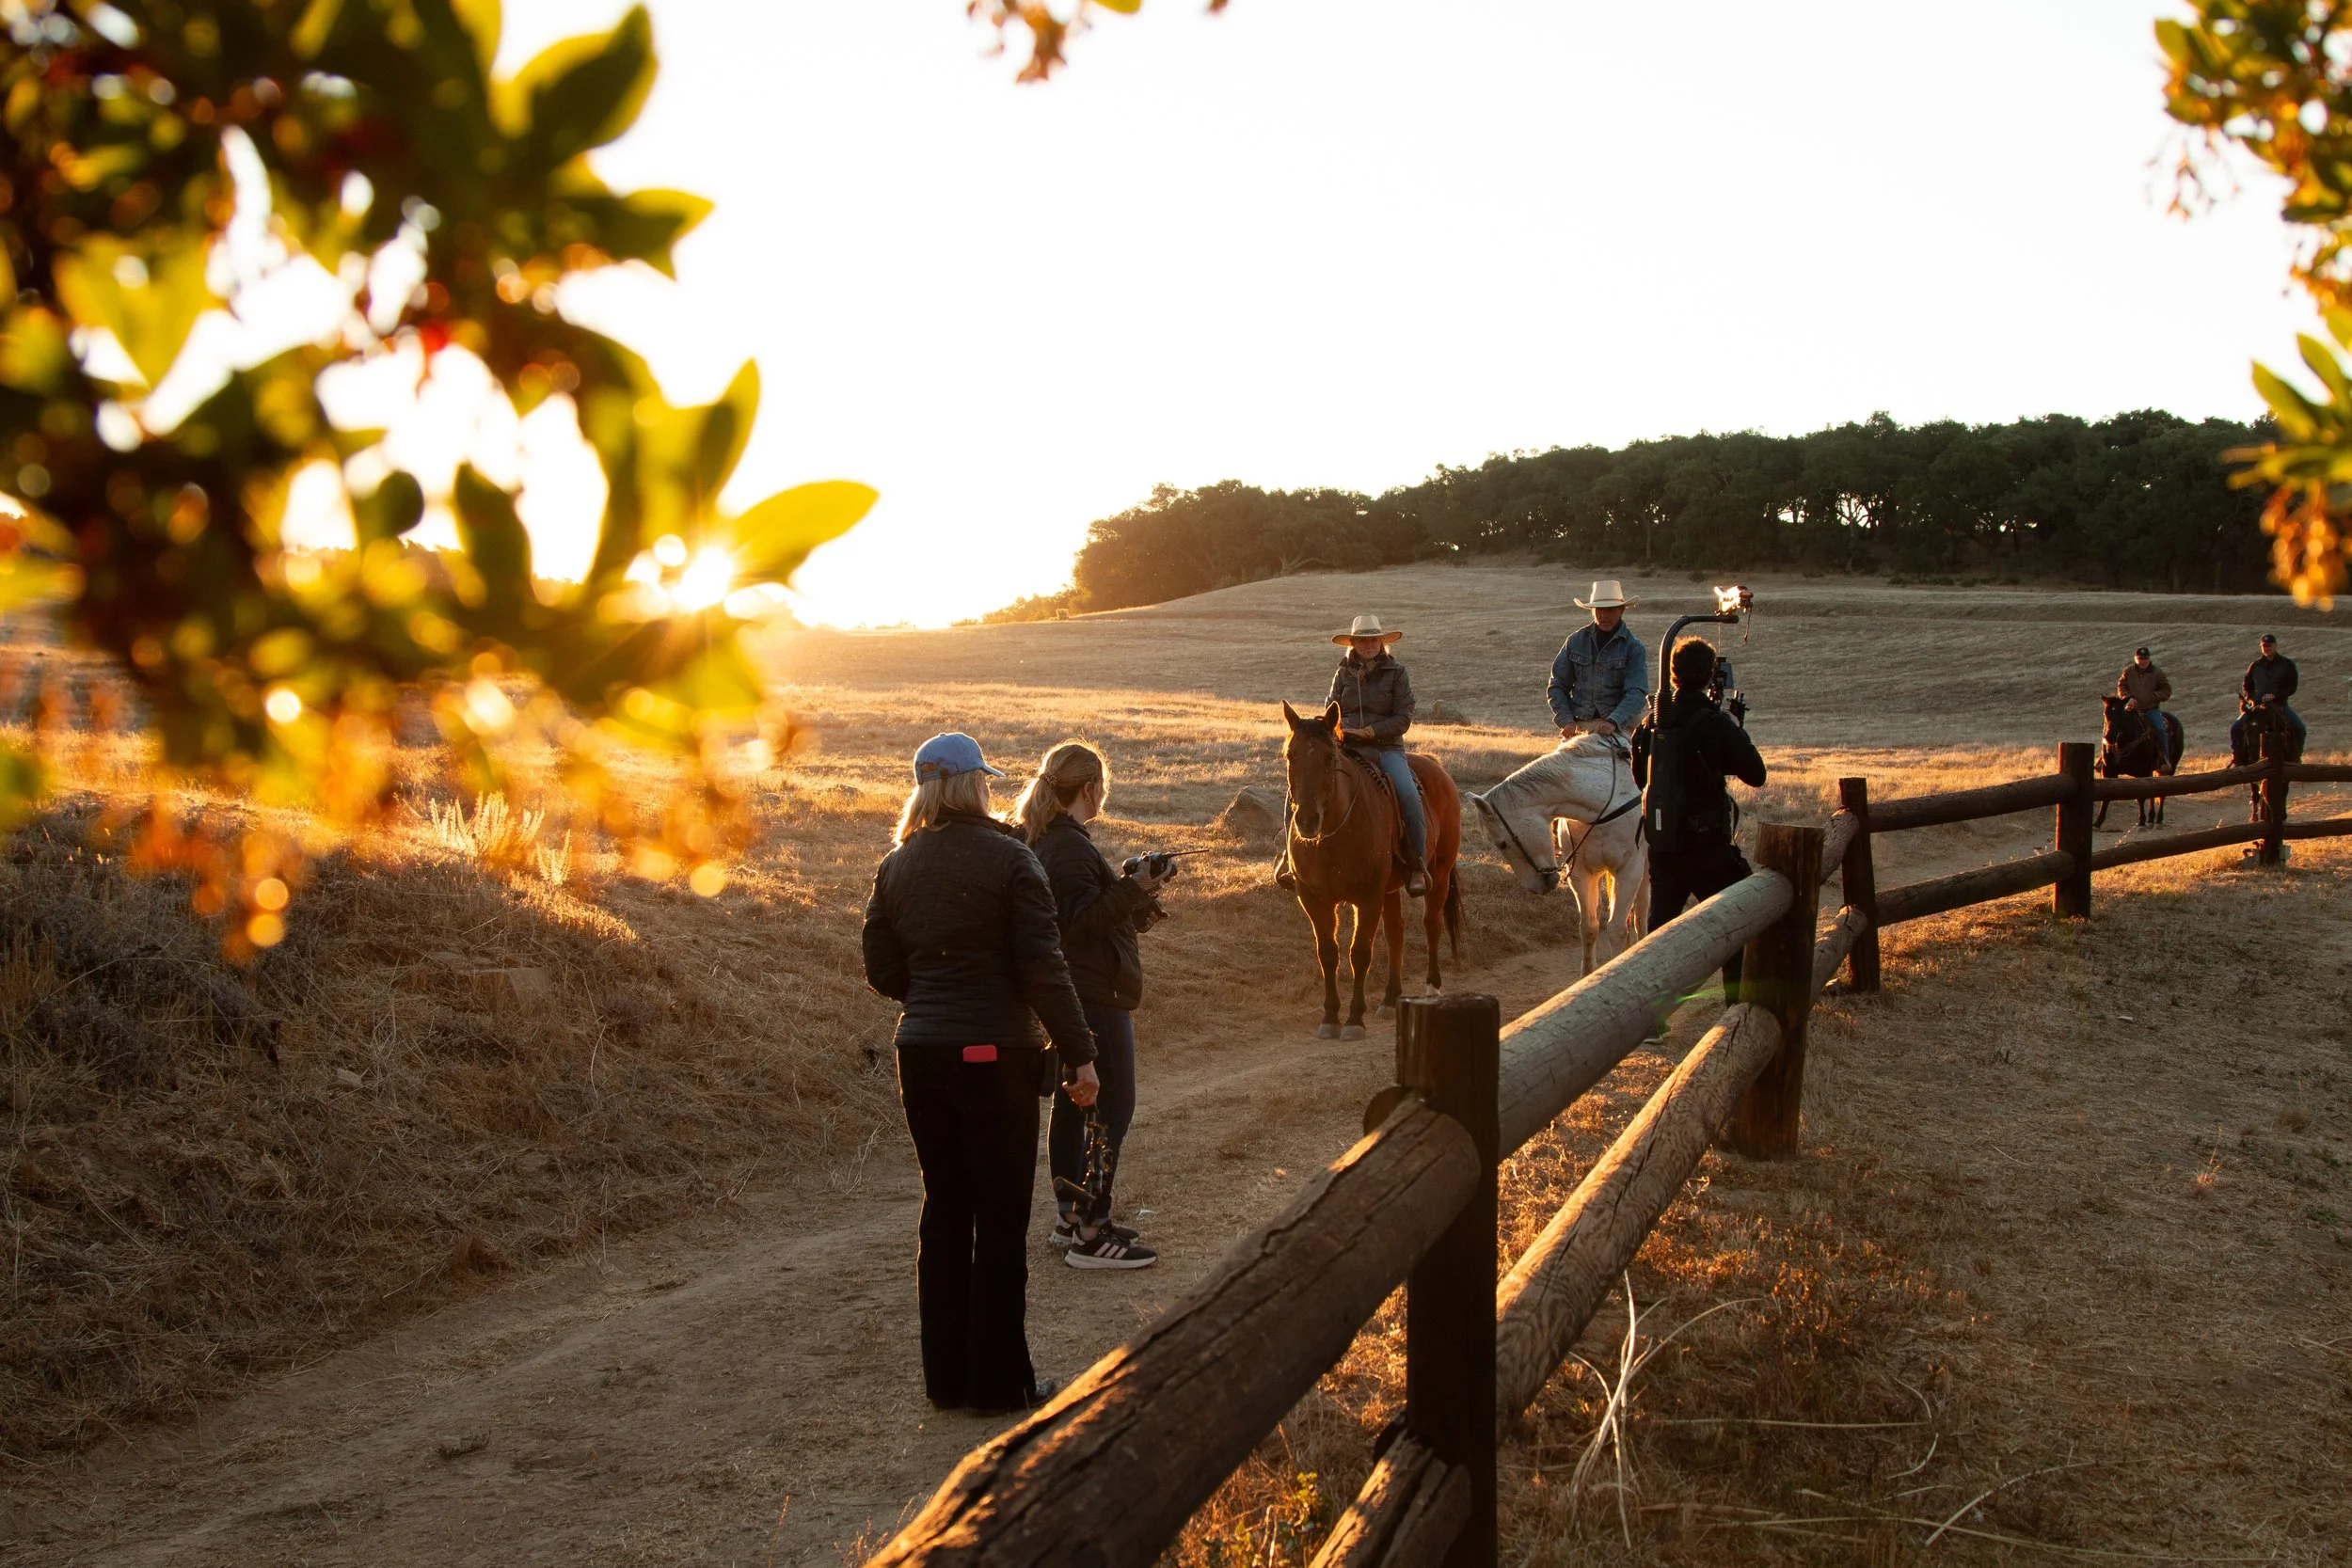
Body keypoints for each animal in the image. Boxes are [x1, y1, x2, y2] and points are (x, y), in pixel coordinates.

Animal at [1280, 700, 1463, 1039]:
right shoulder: (1314, 900)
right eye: (1291, 755)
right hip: (1389, 890)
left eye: (1330, 757)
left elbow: (1360, 952)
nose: (1307, 820)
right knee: (1396, 933)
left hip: (1439, 875)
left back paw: (1432, 988)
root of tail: (1437, 768)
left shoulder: (1367, 899)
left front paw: (1354, 1019)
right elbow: (1328, 953)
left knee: (1431, 924)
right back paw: (1390, 999)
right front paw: (1330, 1017)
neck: (1332, 834)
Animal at [1465, 736, 1648, 976]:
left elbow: (1617, 928)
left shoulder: (1630, 870)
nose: (1535, 888)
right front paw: (1587, 976)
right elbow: (1589, 927)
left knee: (1641, 914)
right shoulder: (1581, 874)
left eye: (1502, 843)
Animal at [2094, 696, 2183, 829]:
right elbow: (2106, 796)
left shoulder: (2143, 771)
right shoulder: (2109, 772)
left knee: (2162, 793)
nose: (2109, 737)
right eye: (2105, 713)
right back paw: (2151, 819)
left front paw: (2141, 822)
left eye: (2123, 714)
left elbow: (2141, 797)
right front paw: (2098, 822)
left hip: (2170, 769)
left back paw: (2158, 820)